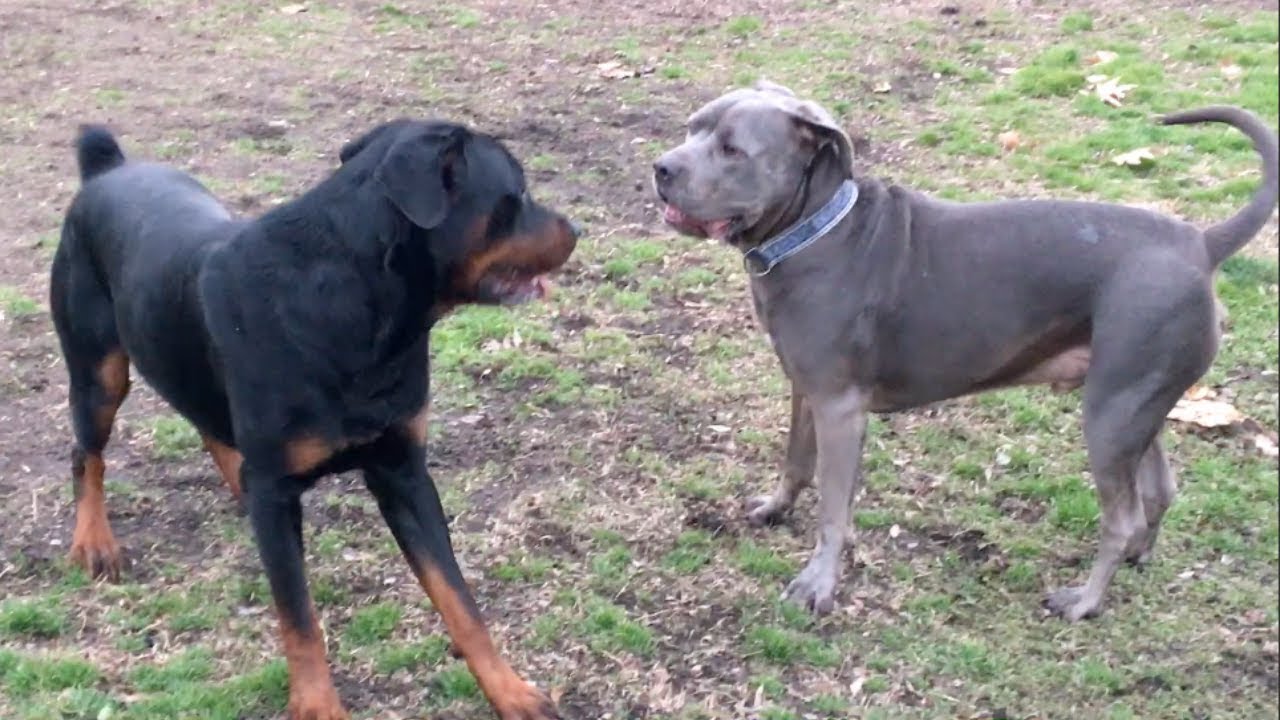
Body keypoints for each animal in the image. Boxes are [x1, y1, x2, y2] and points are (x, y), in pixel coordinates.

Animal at [52, 120, 578, 712]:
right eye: (518, 194)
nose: (576, 229)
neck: (360, 311)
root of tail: (107, 168)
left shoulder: (403, 473)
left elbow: (460, 600)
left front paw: (509, 691)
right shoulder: (279, 489)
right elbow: (300, 622)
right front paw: (317, 706)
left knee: (209, 427)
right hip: (99, 375)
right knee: (87, 454)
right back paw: (94, 542)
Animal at [655, 78, 1274, 617]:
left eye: (732, 148)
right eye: (691, 128)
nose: (661, 167)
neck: (814, 229)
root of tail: (1199, 242)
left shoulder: (839, 407)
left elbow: (833, 505)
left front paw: (818, 584)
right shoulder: (804, 388)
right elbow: (795, 462)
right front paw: (775, 510)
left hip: (1109, 415)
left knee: (1120, 517)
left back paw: (1084, 602)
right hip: (1138, 402)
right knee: (1159, 490)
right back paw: (1138, 557)